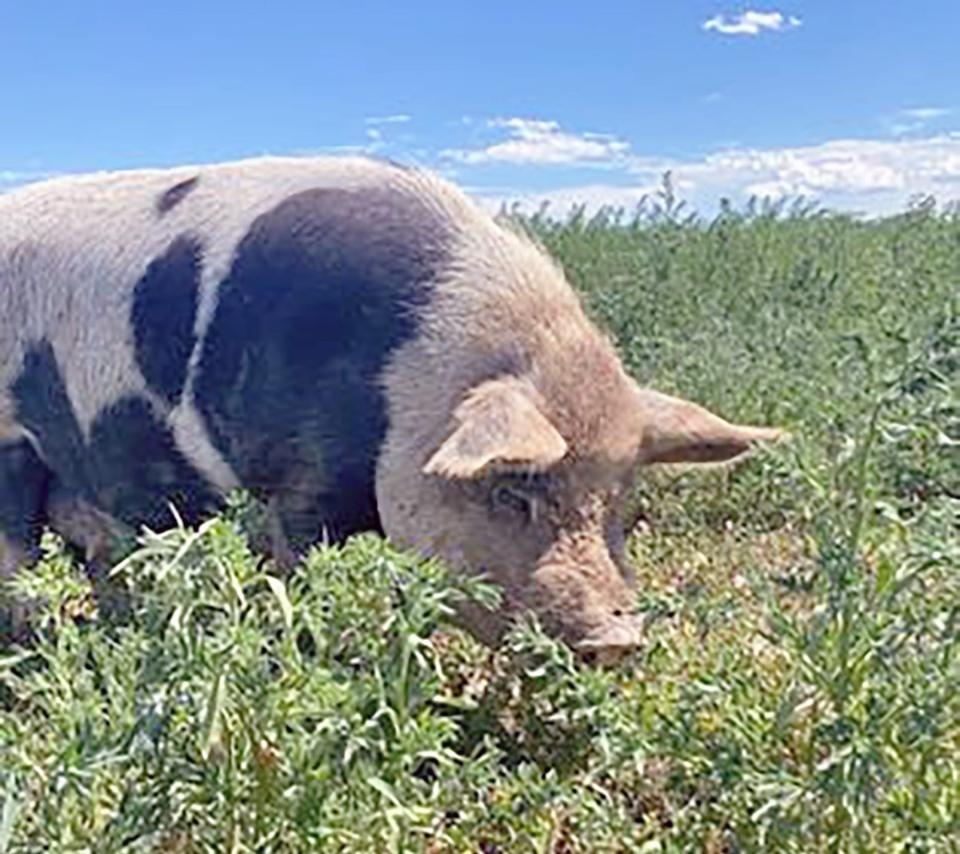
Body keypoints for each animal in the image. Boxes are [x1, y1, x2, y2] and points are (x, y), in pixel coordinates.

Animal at [0, 157, 780, 660]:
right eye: (511, 493)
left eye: (619, 501)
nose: (617, 640)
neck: (408, 384)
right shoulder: (299, 477)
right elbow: (302, 565)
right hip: (10, 445)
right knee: (19, 559)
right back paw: (38, 652)